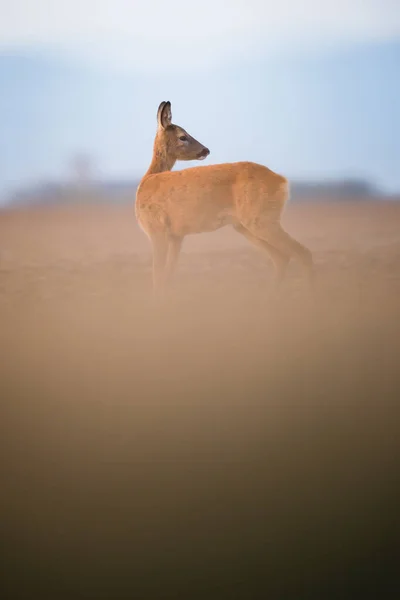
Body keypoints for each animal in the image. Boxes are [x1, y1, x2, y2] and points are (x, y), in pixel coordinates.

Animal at [136, 101, 314, 298]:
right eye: (183, 136)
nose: (205, 150)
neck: (148, 179)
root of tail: (282, 181)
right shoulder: (177, 235)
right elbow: (167, 277)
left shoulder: (156, 229)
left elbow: (158, 277)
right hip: (246, 225)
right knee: (282, 257)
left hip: (261, 220)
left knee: (303, 253)